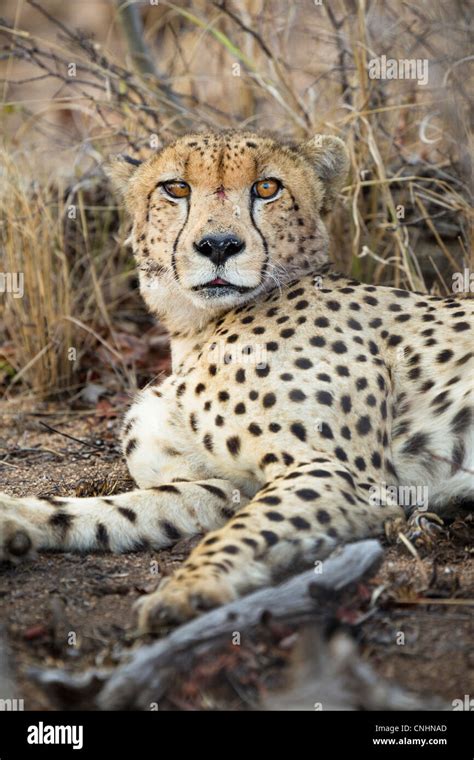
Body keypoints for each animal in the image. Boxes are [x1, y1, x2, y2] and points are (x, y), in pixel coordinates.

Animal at [0, 131, 472, 628]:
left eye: (267, 188)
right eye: (176, 188)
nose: (219, 246)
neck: (194, 330)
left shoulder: (346, 475)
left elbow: (244, 531)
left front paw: (187, 590)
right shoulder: (223, 487)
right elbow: (114, 510)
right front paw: (15, 519)